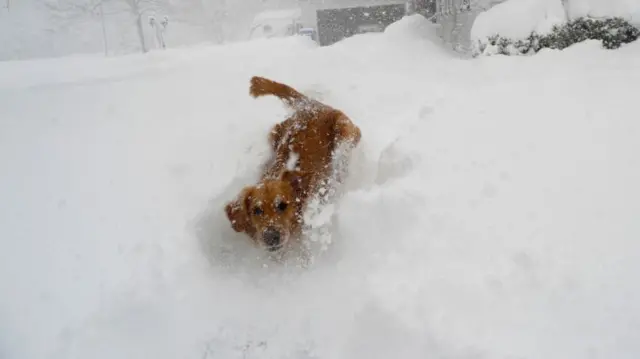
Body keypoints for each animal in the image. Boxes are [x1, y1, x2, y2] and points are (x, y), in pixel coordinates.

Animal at [225, 76, 360, 253]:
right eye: (257, 210)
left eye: (282, 205)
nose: (271, 236)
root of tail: (309, 103)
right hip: (275, 132)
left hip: (346, 128)